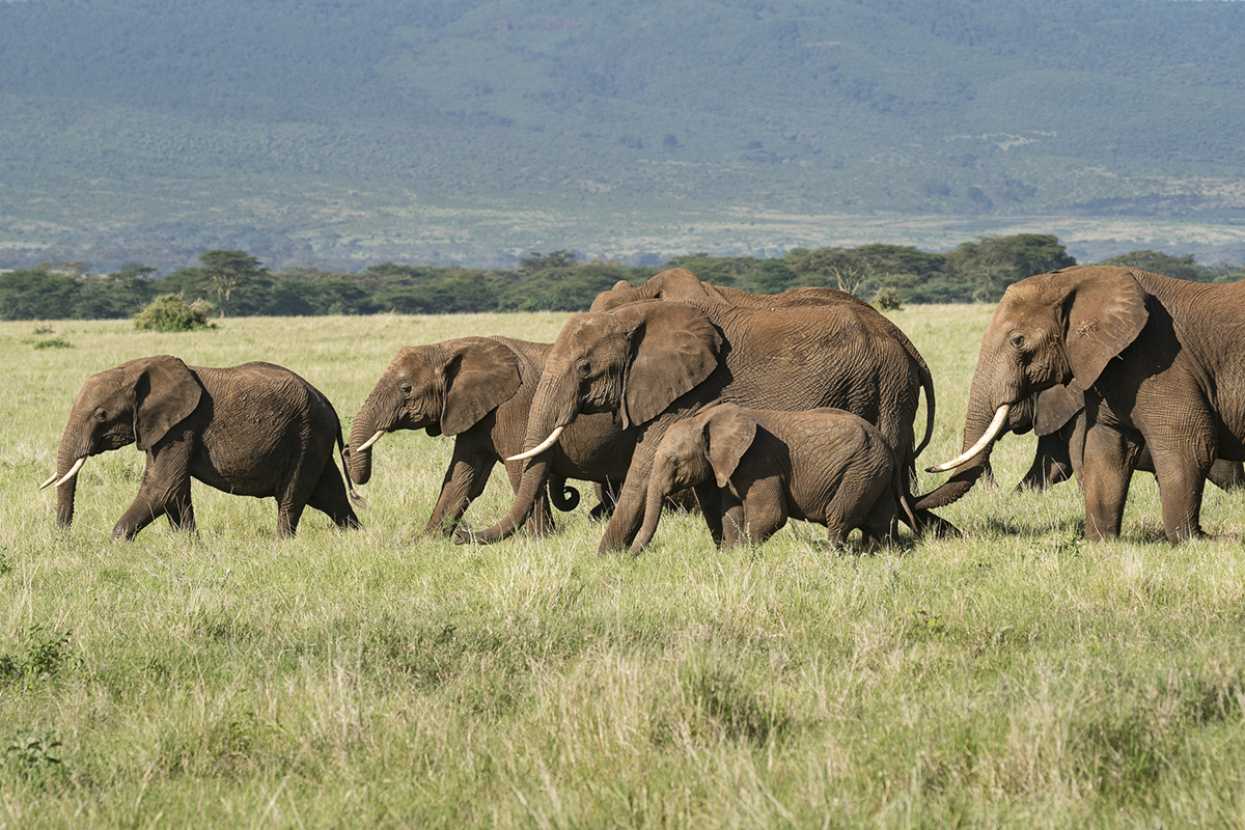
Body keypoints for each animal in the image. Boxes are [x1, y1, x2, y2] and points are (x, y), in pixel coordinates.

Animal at [42, 355, 361, 540]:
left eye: (101, 415)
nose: (64, 536)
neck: (137, 368)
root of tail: (328, 403)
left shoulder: (183, 427)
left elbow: (162, 486)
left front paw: (117, 542)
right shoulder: (163, 428)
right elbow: (174, 490)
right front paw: (189, 546)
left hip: (306, 436)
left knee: (292, 496)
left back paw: (281, 543)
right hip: (314, 439)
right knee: (330, 494)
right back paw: (355, 536)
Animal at [346, 337, 636, 537]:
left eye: (406, 389)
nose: (347, 450)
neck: (451, 347)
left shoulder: (514, 407)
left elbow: (520, 473)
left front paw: (542, 541)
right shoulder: (473, 412)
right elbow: (462, 478)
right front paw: (428, 542)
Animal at [631, 403, 914, 552]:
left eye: (674, 462)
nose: (630, 557)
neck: (706, 419)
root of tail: (885, 442)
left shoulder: (760, 463)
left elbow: (770, 515)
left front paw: (749, 553)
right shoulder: (730, 468)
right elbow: (731, 512)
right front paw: (735, 555)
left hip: (859, 470)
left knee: (839, 515)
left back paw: (831, 554)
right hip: (872, 471)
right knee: (882, 518)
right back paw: (886, 553)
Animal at [923, 264, 1245, 543]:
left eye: (1017, 341)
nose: (925, 471)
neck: (1080, 278)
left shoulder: (1161, 361)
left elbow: (1190, 445)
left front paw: (1200, 541)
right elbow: (1102, 450)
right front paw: (1099, 543)